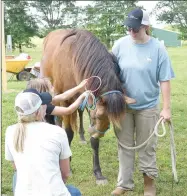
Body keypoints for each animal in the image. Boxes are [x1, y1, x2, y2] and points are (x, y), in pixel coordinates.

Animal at [40, 28, 134, 185]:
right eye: (98, 117)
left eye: (110, 121)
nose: (97, 133)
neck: (73, 58)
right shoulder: (65, 100)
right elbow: (68, 133)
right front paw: (68, 165)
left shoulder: (89, 99)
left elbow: (94, 142)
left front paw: (98, 173)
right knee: (58, 118)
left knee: (78, 112)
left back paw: (82, 136)